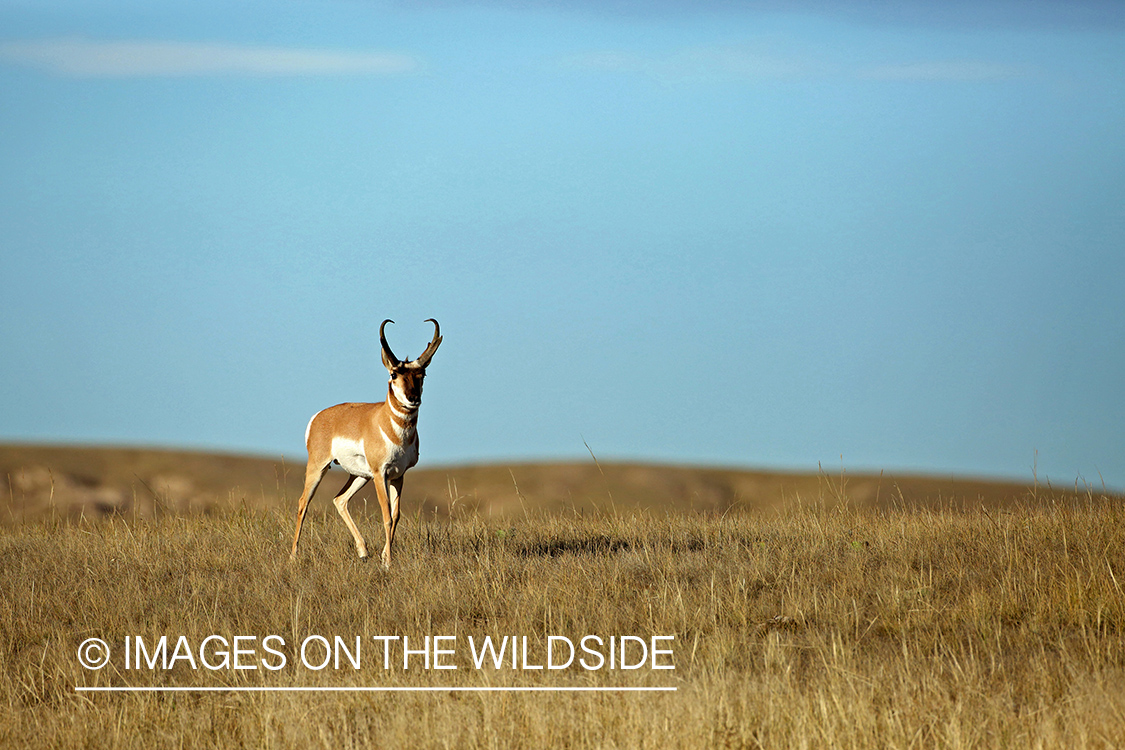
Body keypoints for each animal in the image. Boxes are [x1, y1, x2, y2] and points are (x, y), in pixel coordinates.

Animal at [288, 319, 441, 568]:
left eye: (423, 374)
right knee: (303, 503)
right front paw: (388, 562)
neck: (389, 424)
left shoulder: (398, 475)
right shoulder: (381, 473)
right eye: (394, 373)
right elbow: (386, 515)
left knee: (340, 500)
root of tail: (319, 416)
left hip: (359, 475)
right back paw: (293, 555)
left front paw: (384, 556)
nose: (413, 398)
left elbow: (396, 516)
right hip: (319, 467)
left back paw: (363, 551)